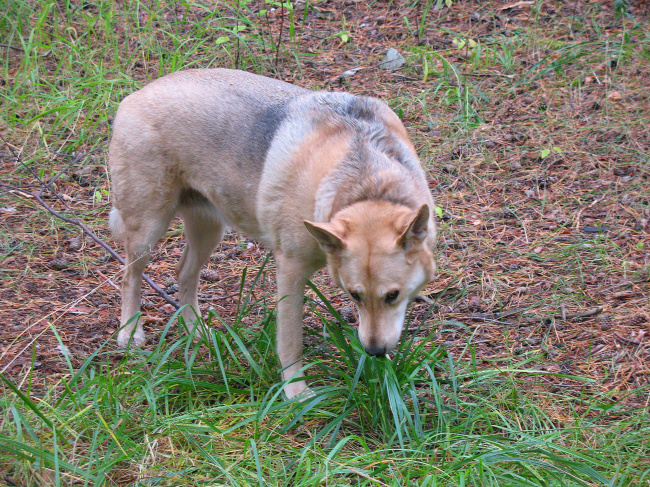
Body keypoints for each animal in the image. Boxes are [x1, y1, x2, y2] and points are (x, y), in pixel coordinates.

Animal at [109, 68, 438, 398]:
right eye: (354, 295)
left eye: (393, 296)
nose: (374, 352)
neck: (367, 181)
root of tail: (134, 95)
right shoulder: (290, 271)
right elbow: (291, 343)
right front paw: (296, 393)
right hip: (148, 230)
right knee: (129, 277)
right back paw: (130, 333)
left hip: (209, 230)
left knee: (183, 273)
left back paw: (196, 330)